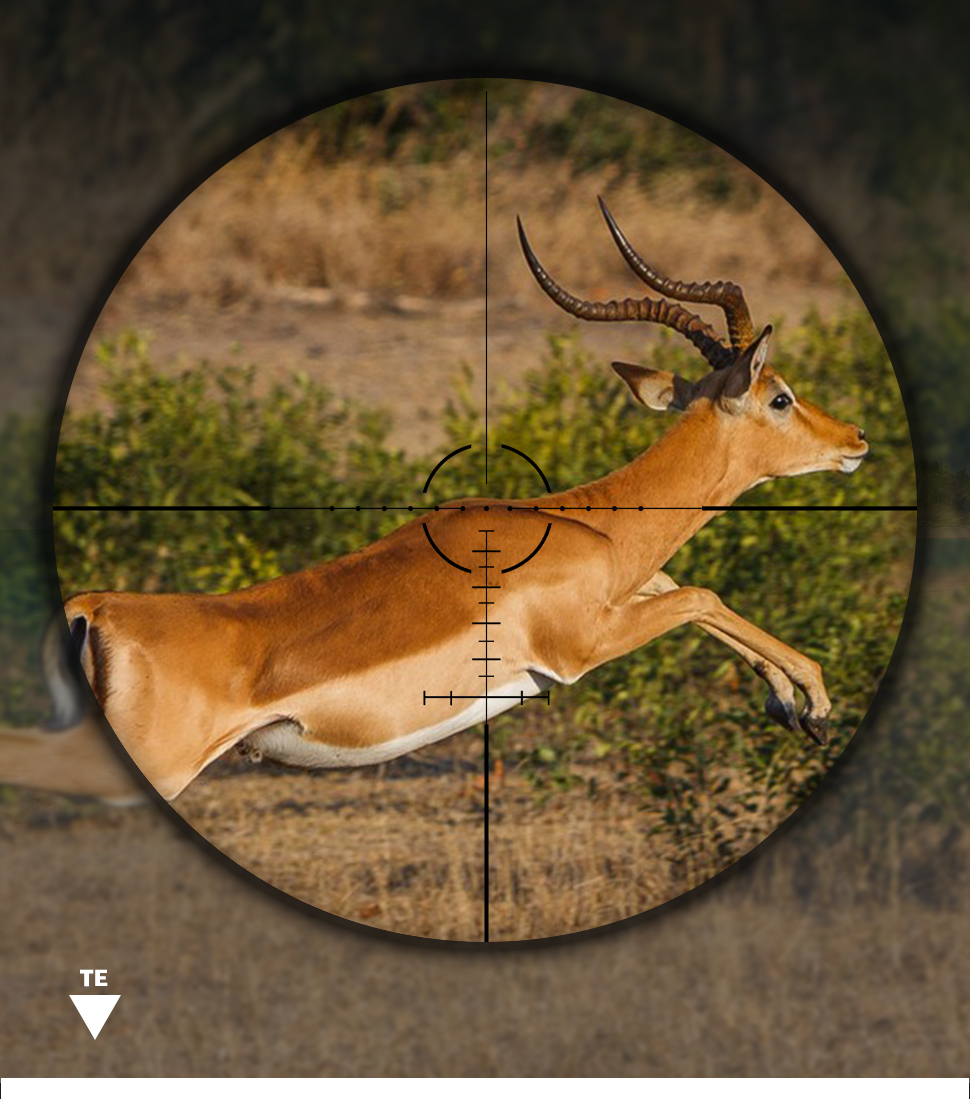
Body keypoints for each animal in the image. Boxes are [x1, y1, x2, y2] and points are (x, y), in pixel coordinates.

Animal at [40, 199, 867, 803]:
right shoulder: (582, 646)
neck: (589, 524)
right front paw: (813, 703)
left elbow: (691, 590)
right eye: (781, 396)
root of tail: (95, 610)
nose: (856, 437)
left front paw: (797, 703)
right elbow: (700, 591)